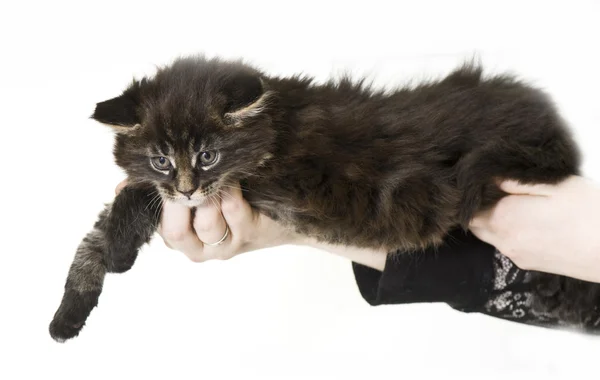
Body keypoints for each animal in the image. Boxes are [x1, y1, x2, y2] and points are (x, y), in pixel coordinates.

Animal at [50, 55, 596, 342]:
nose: (184, 186)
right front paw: (69, 313)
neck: (272, 129)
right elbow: (95, 234)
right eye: (161, 158)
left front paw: (117, 252)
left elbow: (132, 201)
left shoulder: (251, 183)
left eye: (207, 155)